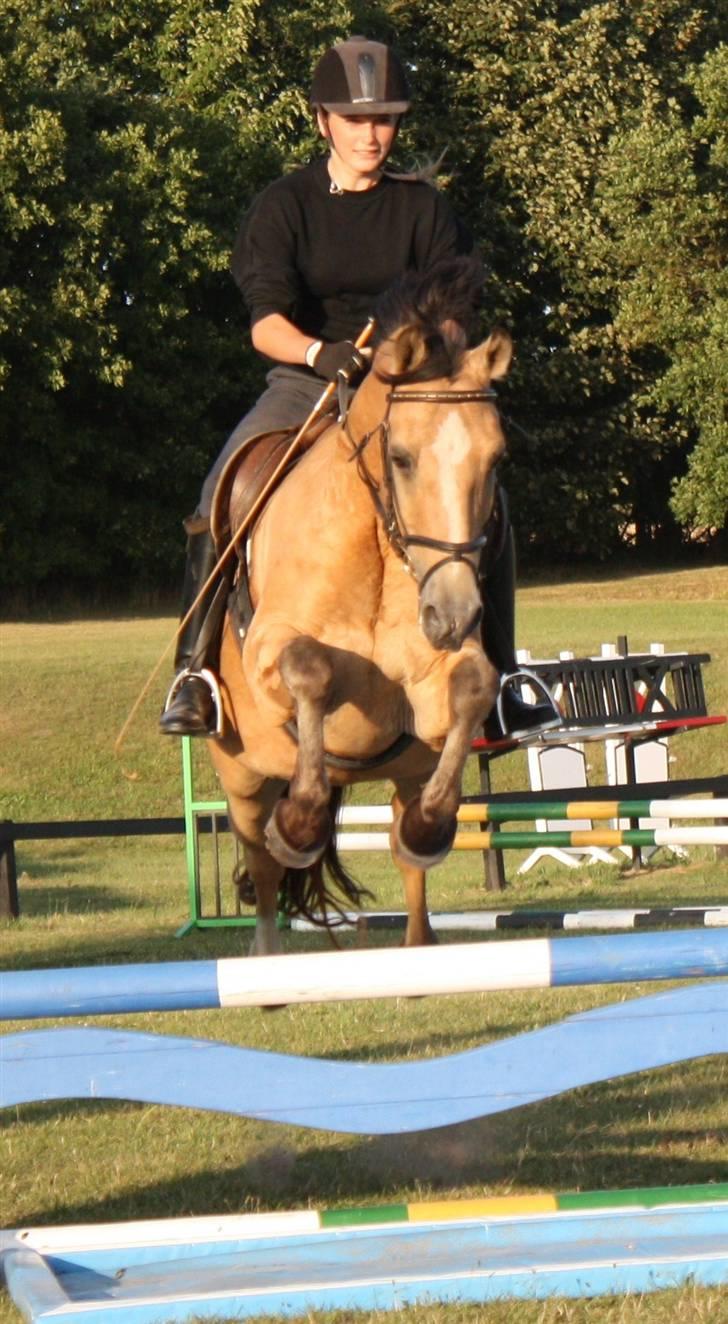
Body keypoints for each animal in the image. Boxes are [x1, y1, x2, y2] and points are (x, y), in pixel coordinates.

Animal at [206, 258, 513, 958]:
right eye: (400, 459)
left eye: (496, 459)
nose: (453, 615)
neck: (377, 542)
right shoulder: (271, 649)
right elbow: (311, 670)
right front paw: (301, 822)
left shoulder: (432, 690)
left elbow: (474, 685)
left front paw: (429, 829)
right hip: (242, 777)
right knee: (263, 865)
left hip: (407, 772)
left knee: (409, 862)